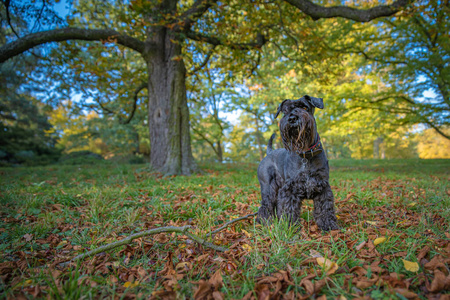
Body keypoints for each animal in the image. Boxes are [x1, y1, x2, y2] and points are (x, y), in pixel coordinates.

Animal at [256, 95, 338, 231]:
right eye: (285, 111)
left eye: (304, 107)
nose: (292, 118)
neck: (306, 154)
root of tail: (269, 153)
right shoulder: (289, 189)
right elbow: (288, 209)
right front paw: (289, 226)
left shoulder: (323, 186)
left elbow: (325, 207)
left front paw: (328, 224)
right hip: (268, 188)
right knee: (265, 206)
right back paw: (265, 222)